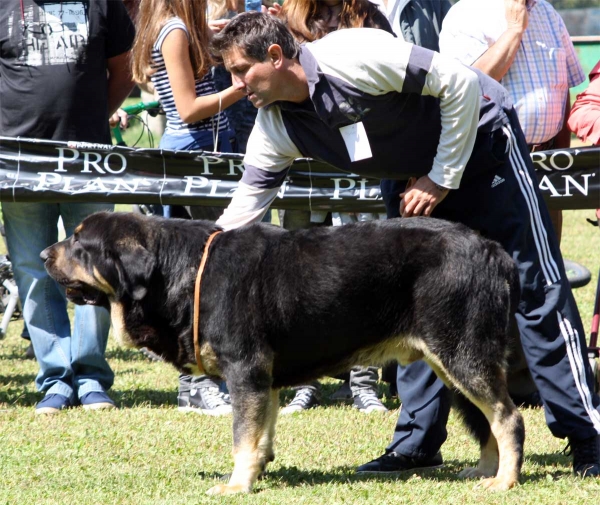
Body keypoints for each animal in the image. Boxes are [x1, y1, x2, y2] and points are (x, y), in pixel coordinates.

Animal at [39, 212, 524, 492]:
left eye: (79, 244)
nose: (44, 253)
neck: (185, 272)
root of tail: (492, 250)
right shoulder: (264, 380)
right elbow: (261, 436)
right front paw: (257, 471)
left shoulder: (245, 371)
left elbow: (241, 436)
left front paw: (237, 486)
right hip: (453, 360)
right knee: (487, 420)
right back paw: (488, 471)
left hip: (461, 353)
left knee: (507, 418)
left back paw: (505, 482)